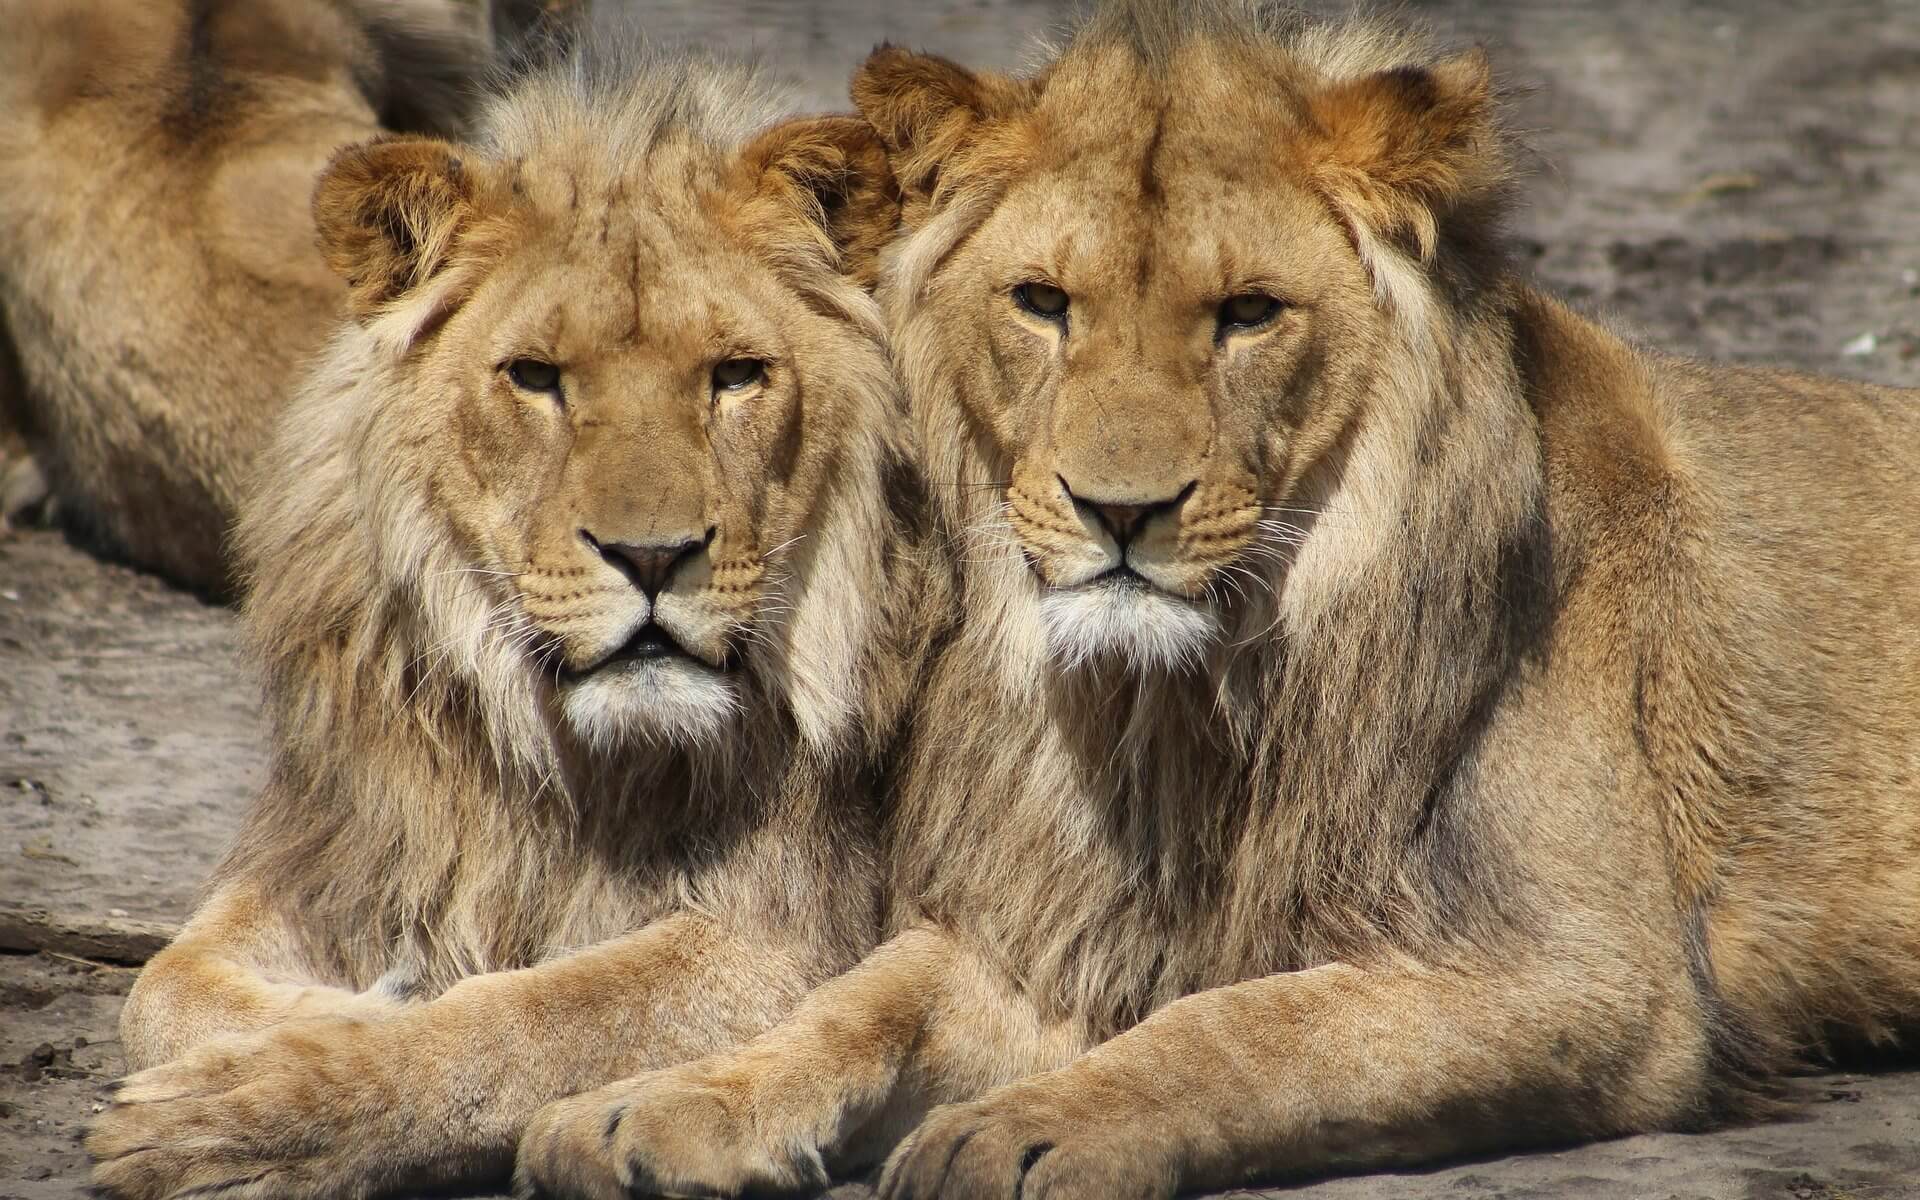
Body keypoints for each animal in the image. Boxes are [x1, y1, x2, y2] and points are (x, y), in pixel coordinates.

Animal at [85, 40, 927, 1200]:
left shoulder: (787, 935)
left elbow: (535, 1014)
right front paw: (327, 1011)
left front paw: (257, 1103)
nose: (653, 557)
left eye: (736, 376)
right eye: (535, 378)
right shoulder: (351, 841)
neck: (565, 752)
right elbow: (161, 987)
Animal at [513, 4, 1920, 1198]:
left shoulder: (1593, 974)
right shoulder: (1059, 920)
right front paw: (662, 1104)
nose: (1119, 514)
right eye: (1043, 303)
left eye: (1249, 314)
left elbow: (1250, 1024)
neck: (1177, 705)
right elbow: (866, 998)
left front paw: (1031, 1130)